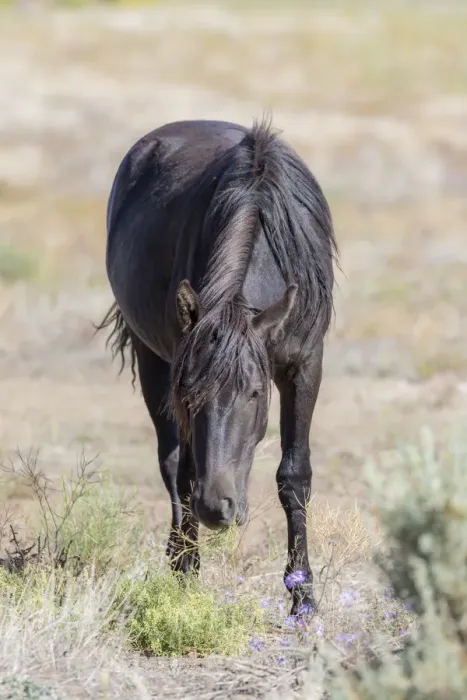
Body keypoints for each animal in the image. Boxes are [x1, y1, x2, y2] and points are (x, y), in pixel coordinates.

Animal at [98, 118, 338, 615]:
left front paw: (303, 597)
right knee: (173, 463)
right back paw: (180, 559)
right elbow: (186, 470)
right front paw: (187, 571)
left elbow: (294, 475)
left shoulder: (306, 365)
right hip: (150, 357)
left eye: (255, 393)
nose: (216, 508)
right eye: (190, 393)